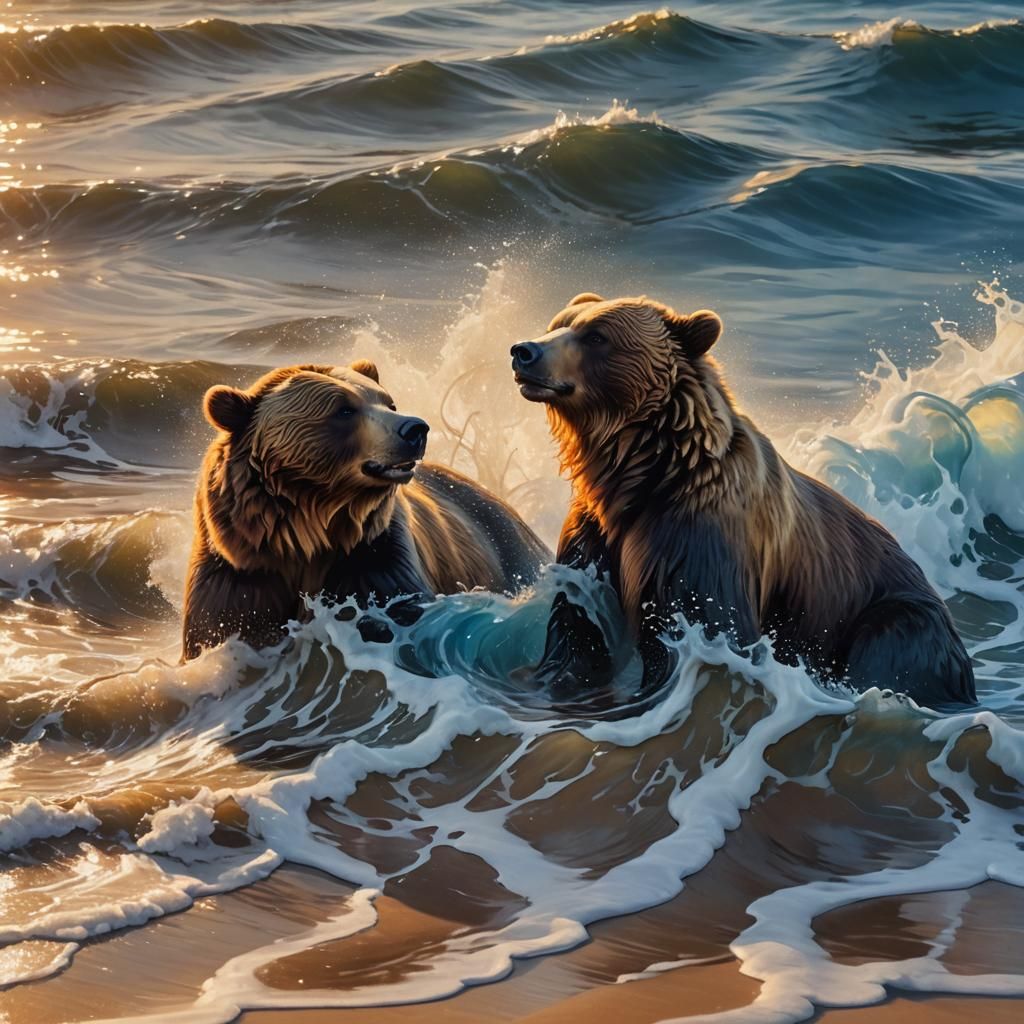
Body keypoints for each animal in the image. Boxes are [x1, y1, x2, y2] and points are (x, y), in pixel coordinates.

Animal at [182, 360, 549, 660]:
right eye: (344, 410)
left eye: (388, 402)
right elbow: (225, 626)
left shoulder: (375, 557)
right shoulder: (242, 571)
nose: (415, 428)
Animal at [510, 292, 976, 709]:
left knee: (888, 657)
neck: (642, 469)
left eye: (596, 335)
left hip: (893, 621)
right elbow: (575, 628)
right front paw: (552, 683)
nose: (524, 351)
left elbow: (703, 626)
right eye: (557, 324)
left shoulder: (694, 539)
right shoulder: (591, 538)